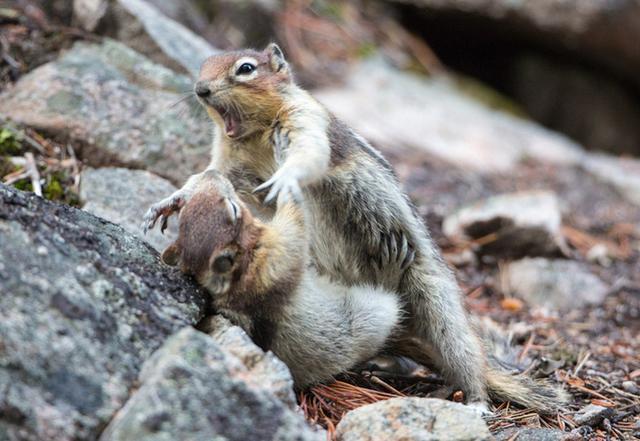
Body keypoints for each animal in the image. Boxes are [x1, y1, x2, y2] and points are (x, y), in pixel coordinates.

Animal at [160, 170, 402, 386]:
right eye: (233, 209)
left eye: (183, 216)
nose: (212, 172)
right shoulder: (276, 253)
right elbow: (295, 225)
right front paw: (288, 184)